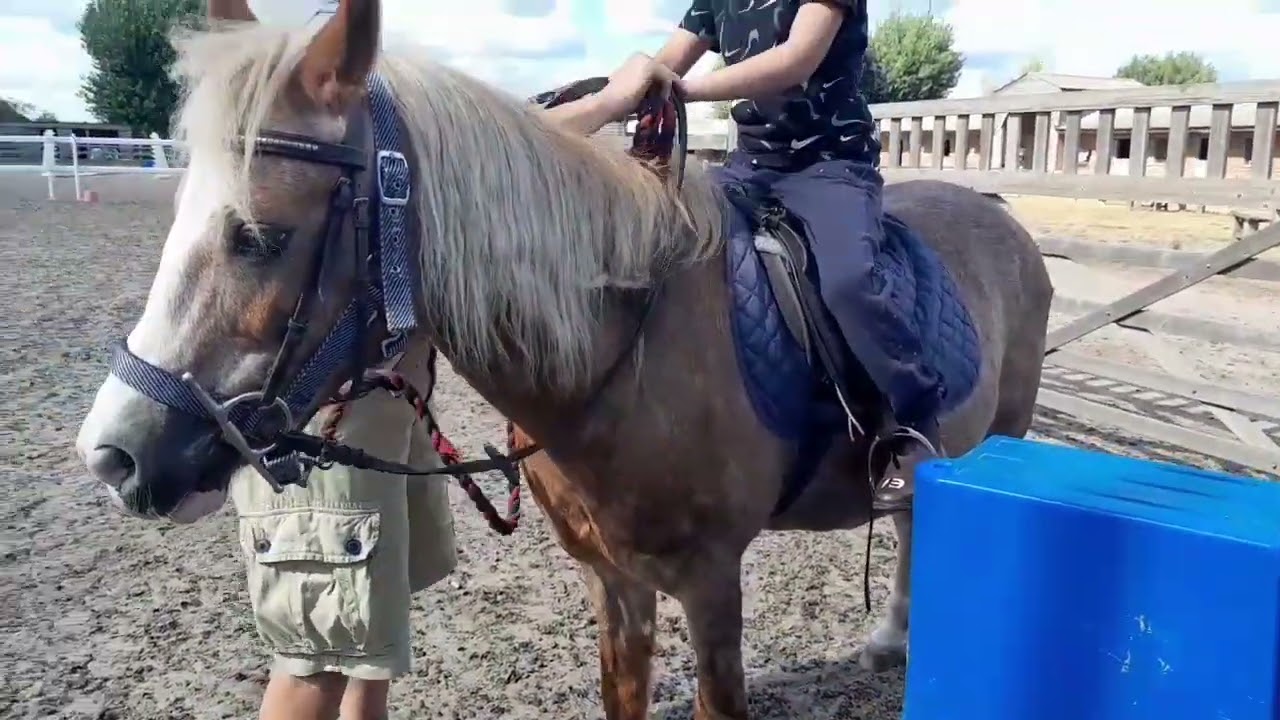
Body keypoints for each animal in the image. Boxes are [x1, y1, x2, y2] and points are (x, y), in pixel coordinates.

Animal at [74, 1, 1053, 717]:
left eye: (259, 236)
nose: (114, 456)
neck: (626, 354)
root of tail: (1004, 216)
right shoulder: (610, 580)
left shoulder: (711, 584)